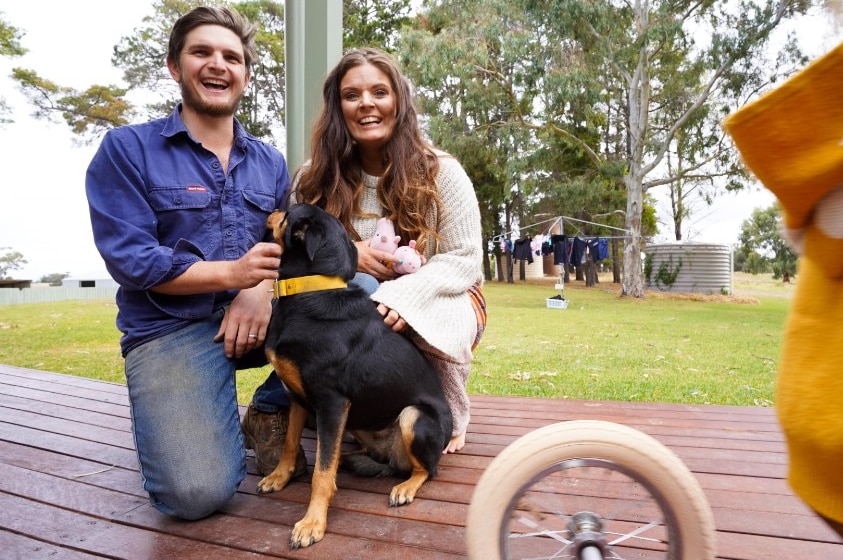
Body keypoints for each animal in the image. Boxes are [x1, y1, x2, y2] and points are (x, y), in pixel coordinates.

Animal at [258, 203, 452, 548]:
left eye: (289, 213)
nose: (273, 207)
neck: (310, 291)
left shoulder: (331, 403)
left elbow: (321, 474)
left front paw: (312, 523)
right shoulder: (297, 397)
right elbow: (291, 443)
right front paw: (279, 477)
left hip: (413, 416)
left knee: (427, 470)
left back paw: (404, 487)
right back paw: (351, 458)